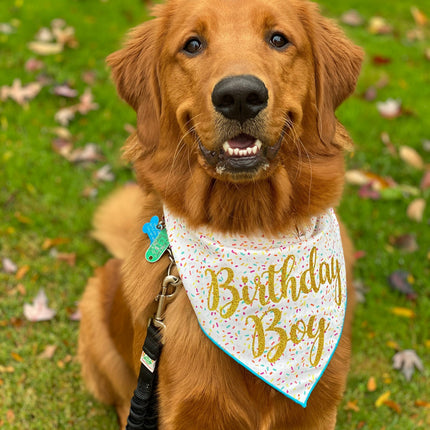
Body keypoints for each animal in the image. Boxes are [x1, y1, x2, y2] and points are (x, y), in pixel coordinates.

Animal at [78, 1, 362, 428]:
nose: (240, 95)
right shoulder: (189, 409)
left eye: (279, 39)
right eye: (192, 44)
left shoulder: (318, 407)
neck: (250, 227)